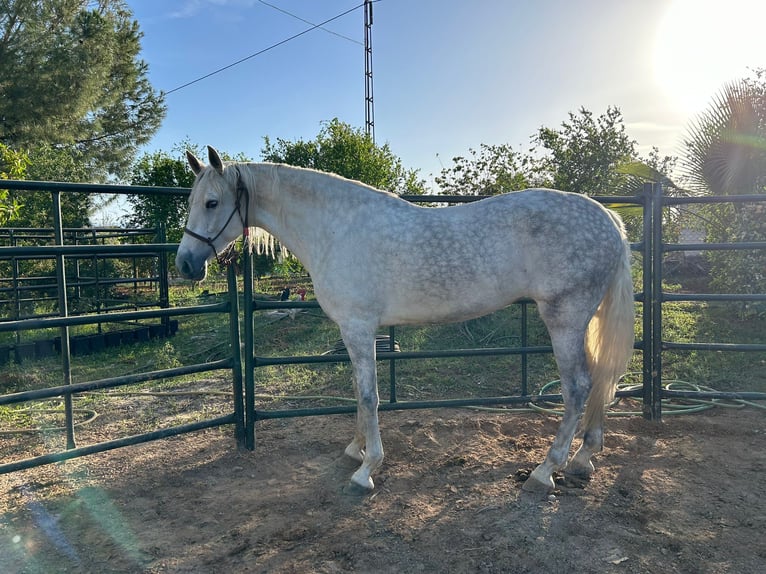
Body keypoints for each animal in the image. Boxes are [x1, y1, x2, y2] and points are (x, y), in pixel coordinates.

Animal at [176, 147, 636, 496]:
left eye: (212, 203)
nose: (185, 264)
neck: (335, 228)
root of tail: (609, 220)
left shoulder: (359, 326)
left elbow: (368, 396)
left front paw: (367, 469)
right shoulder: (352, 331)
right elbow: (357, 391)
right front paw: (357, 449)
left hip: (565, 318)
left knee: (577, 387)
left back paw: (545, 471)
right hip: (583, 320)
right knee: (598, 380)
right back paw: (583, 459)